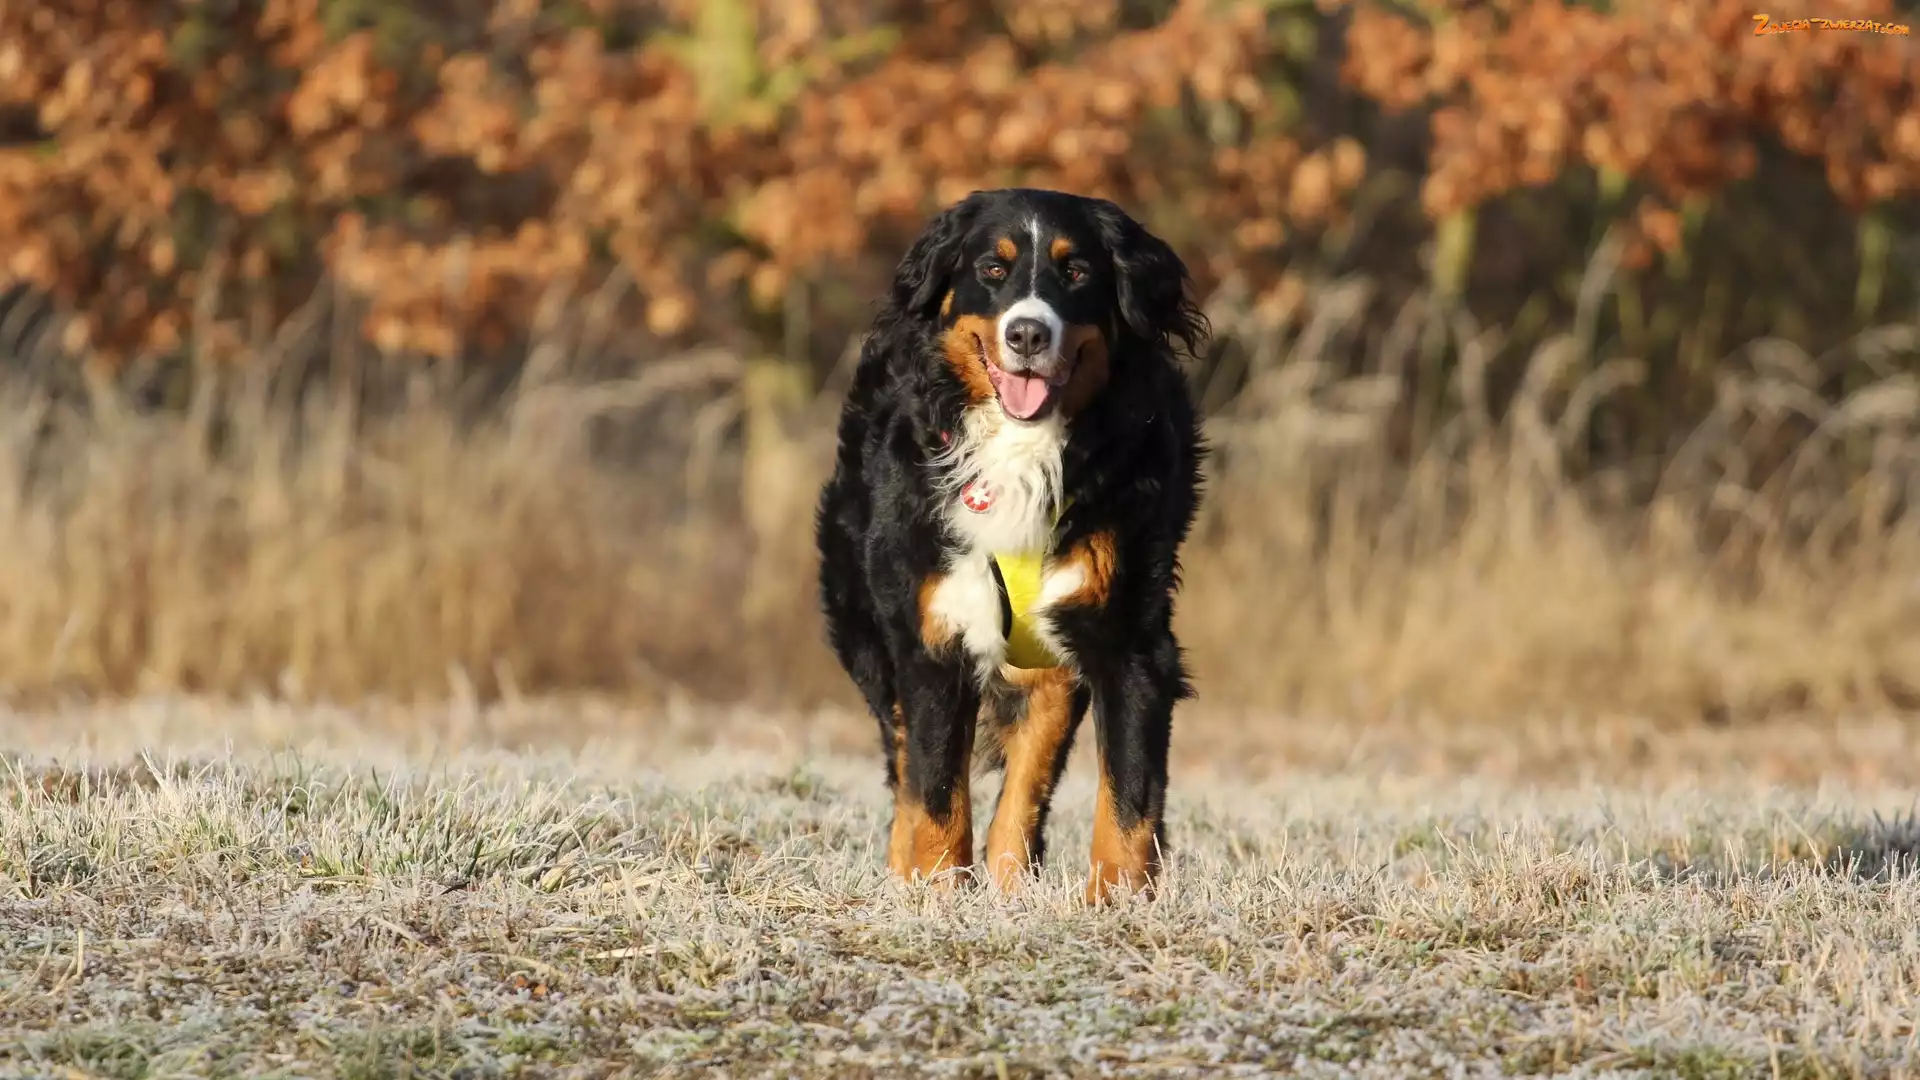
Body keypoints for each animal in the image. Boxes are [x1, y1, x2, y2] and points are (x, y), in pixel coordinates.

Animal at [814, 188, 1208, 904]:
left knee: (1026, 785)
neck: (1021, 448)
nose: (1027, 334)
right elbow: (937, 796)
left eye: (1076, 271)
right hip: (870, 632)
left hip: (1046, 667)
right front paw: (936, 896)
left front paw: (1117, 905)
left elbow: (1127, 799)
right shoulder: (933, 634)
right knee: (907, 764)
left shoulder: (1130, 639)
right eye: (992, 270)